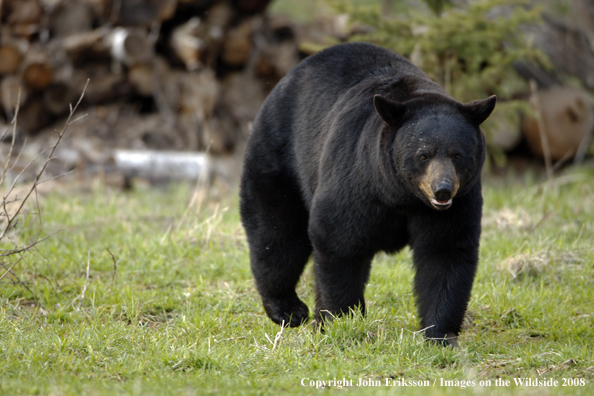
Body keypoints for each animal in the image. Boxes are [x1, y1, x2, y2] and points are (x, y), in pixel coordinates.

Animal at [238, 42, 492, 346]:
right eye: (423, 154)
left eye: (458, 155)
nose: (442, 190)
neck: (400, 195)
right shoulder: (356, 178)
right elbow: (339, 240)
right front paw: (340, 319)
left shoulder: (458, 203)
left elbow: (445, 252)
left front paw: (439, 335)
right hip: (279, 160)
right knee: (276, 234)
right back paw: (288, 309)